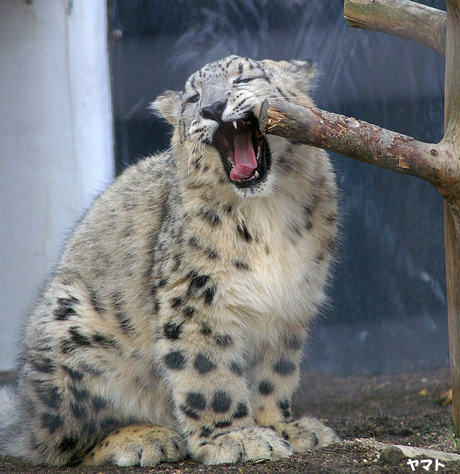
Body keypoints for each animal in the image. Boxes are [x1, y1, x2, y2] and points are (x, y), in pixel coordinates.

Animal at [0, 54, 338, 466]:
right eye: (193, 98)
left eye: (245, 78)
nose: (213, 107)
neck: (267, 211)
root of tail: (25, 413)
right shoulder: (196, 293)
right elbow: (208, 370)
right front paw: (235, 438)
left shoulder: (291, 300)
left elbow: (276, 371)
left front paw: (281, 427)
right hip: (69, 327)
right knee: (62, 442)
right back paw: (145, 437)